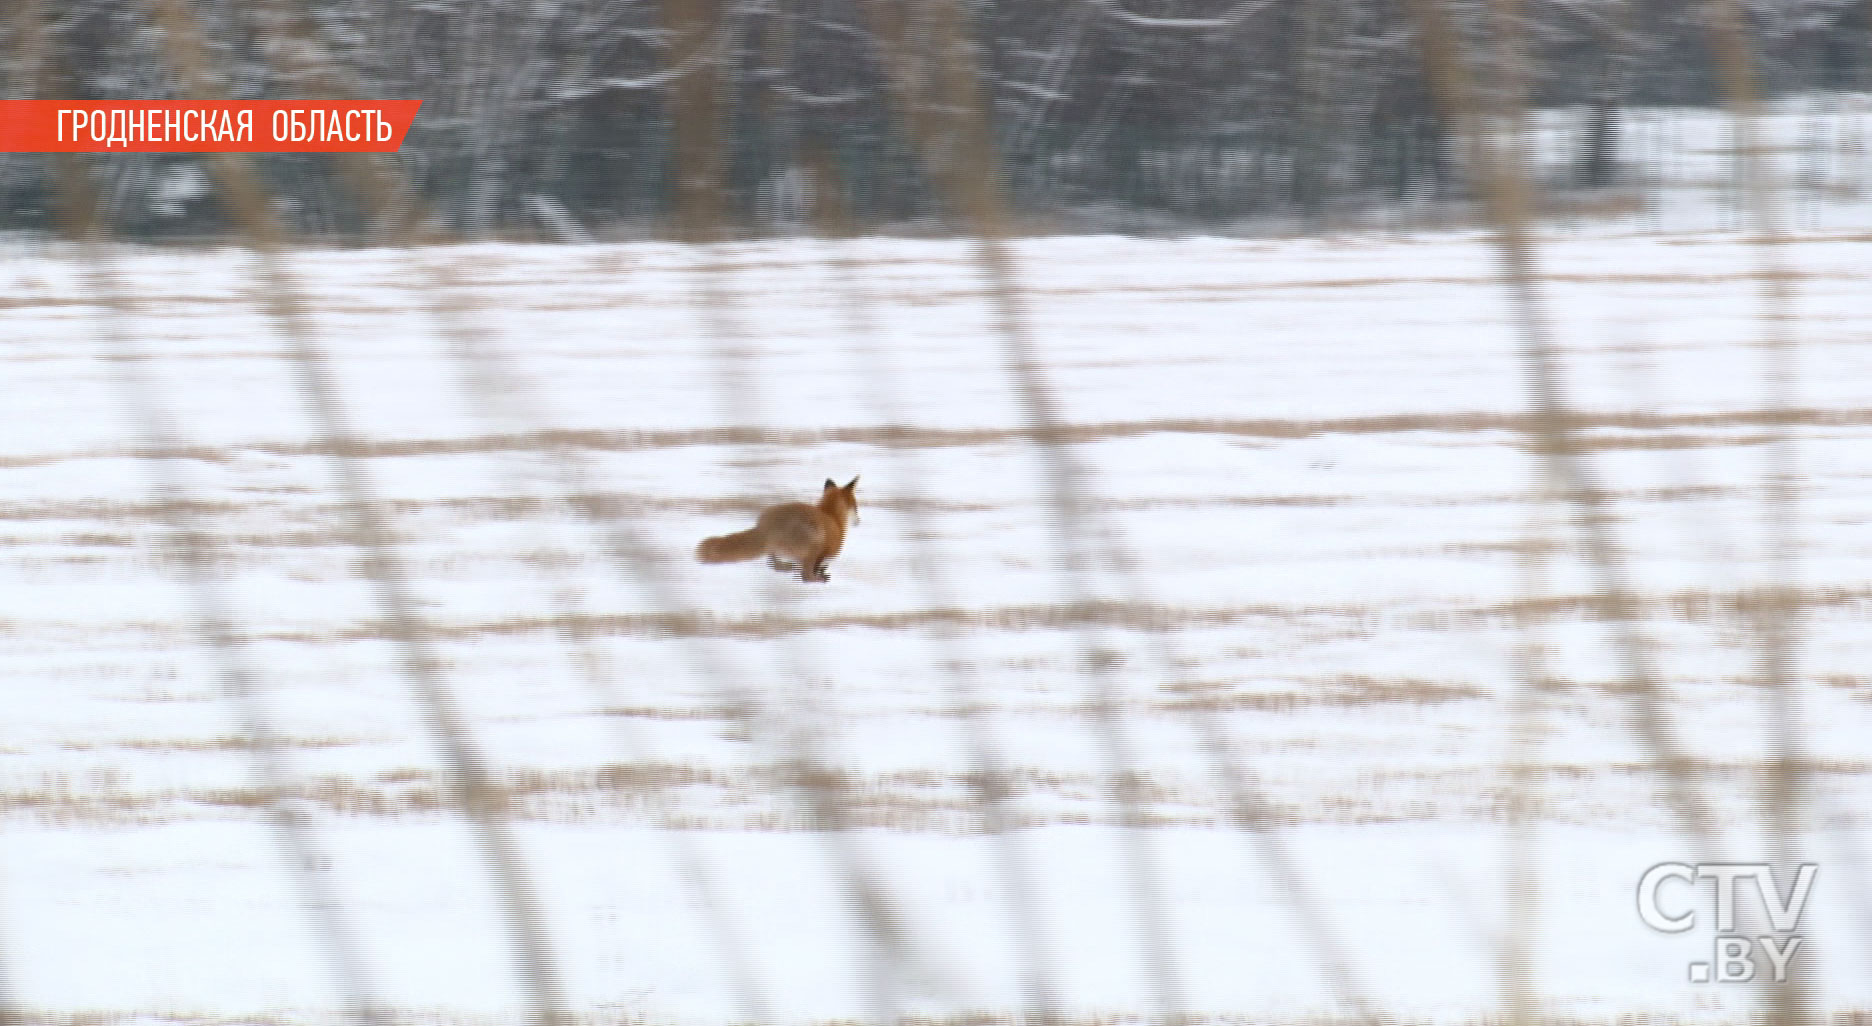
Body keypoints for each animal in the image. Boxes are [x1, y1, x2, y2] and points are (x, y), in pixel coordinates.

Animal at [696, 477, 861, 580]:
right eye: (856, 506)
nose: (859, 521)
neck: (831, 515)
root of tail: (766, 526)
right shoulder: (824, 553)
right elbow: (811, 572)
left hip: (777, 549)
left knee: (773, 564)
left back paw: (787, 567)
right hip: (813, 542)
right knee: (804, 575)